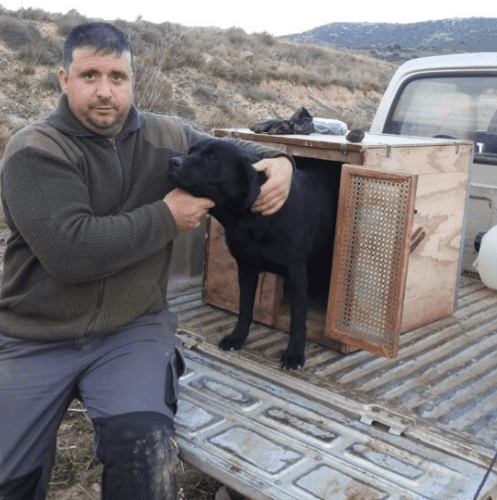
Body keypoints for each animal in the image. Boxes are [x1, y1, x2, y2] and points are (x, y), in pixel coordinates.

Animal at [168, 139, 338, 370]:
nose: (172, 161)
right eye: (190, 151)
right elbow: (245, 307)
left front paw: (294, 353)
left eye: (212, 157)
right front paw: (237, 337)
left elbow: (297, 318)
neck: (252, 219)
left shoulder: (296, 274)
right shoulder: (246, 268)